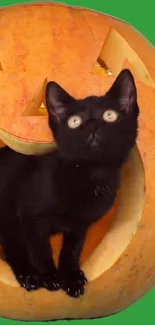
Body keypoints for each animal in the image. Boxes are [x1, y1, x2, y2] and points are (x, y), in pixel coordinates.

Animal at [0, 69, 139, 298]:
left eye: (110, 116)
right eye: (74, 121)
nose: (92, 125)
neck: (90, 176)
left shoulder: (81, 225)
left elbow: (72, 250)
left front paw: (72, 277)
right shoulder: (31, 217)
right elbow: (40, 248)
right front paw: (49, 276)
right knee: (13, 245)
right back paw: (29, 275)